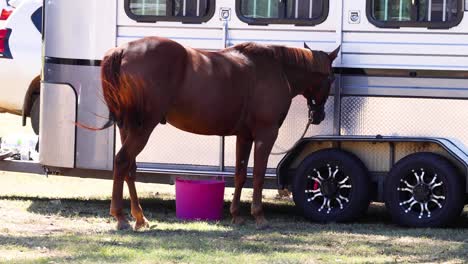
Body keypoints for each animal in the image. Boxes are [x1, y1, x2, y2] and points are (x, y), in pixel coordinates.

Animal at [100, 36, 338, 230]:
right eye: (331, 78)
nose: (318, 115)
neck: (277, 69)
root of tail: (122, 50)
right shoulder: (266, 135)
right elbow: (258, 175)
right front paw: (259, 216)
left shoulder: (245, 136)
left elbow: (241, 174)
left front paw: (236, 216)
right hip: (142, 128)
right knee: (122, 161)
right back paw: (120, 217)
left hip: (128, 127)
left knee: (129, 168)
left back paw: (139, 218)